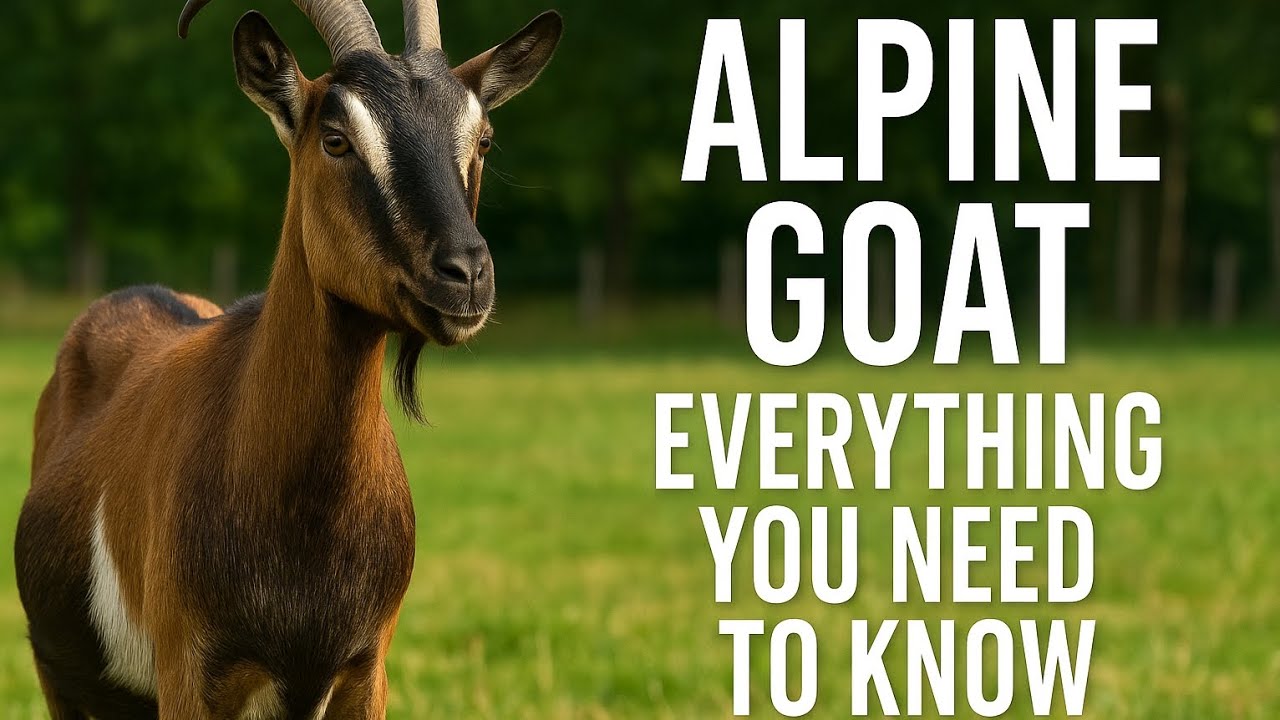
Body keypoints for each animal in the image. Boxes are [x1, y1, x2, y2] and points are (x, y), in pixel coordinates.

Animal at [14, 1, 561, 717]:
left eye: (484, 140)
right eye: (336, 140)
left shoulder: (366, 669)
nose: (466, 274)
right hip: (60, 677)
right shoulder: (188, 669)